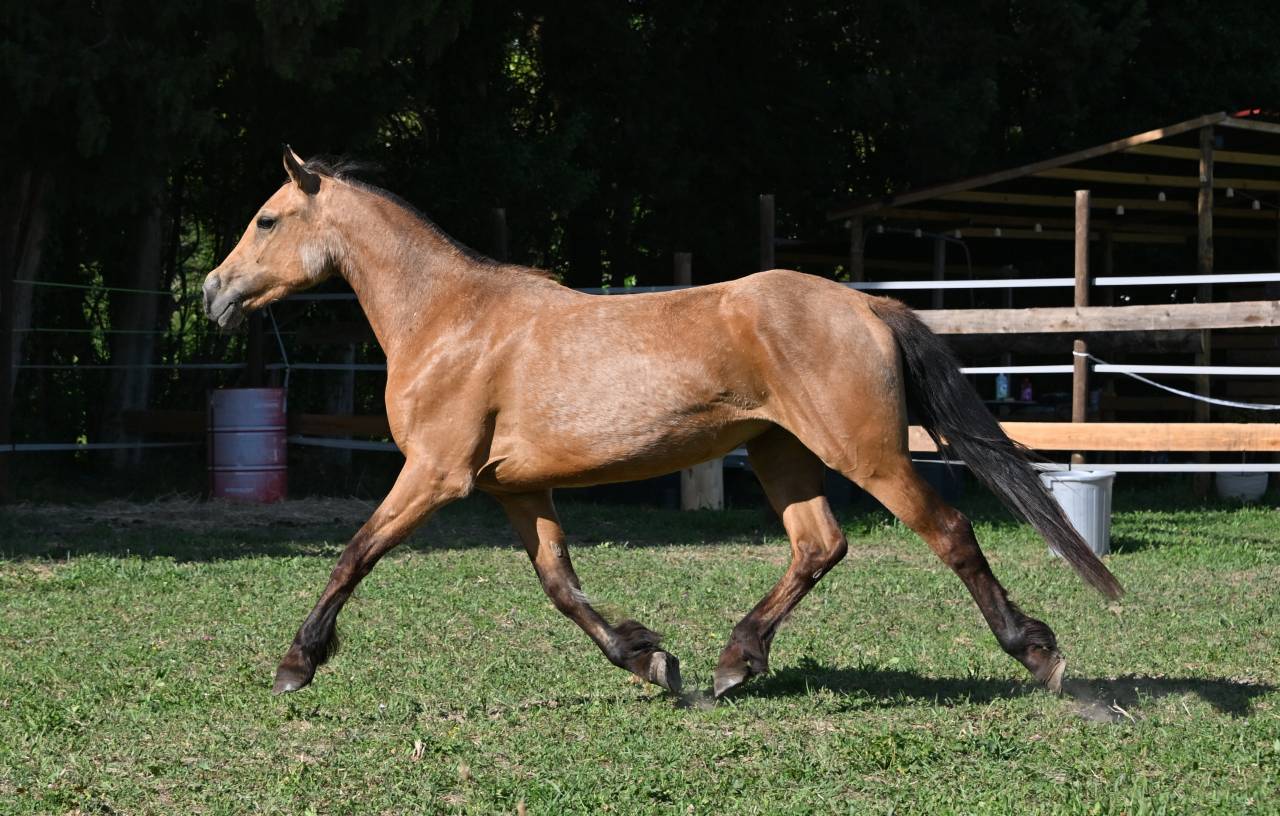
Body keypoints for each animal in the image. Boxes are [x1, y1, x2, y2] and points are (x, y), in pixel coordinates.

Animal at [203, 147, 1122, 699]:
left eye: (267, 219)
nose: (212, 292)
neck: (448, 320)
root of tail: (864, 303)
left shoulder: (435, 474)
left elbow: (355, 552)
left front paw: (296, 663)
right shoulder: (515, 489)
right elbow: (560, 585)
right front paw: (649, 658)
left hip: (867, 454)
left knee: (950, 532)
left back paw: (1037, 652)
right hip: (782, 454)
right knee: (820, 546)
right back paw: (733, 663)